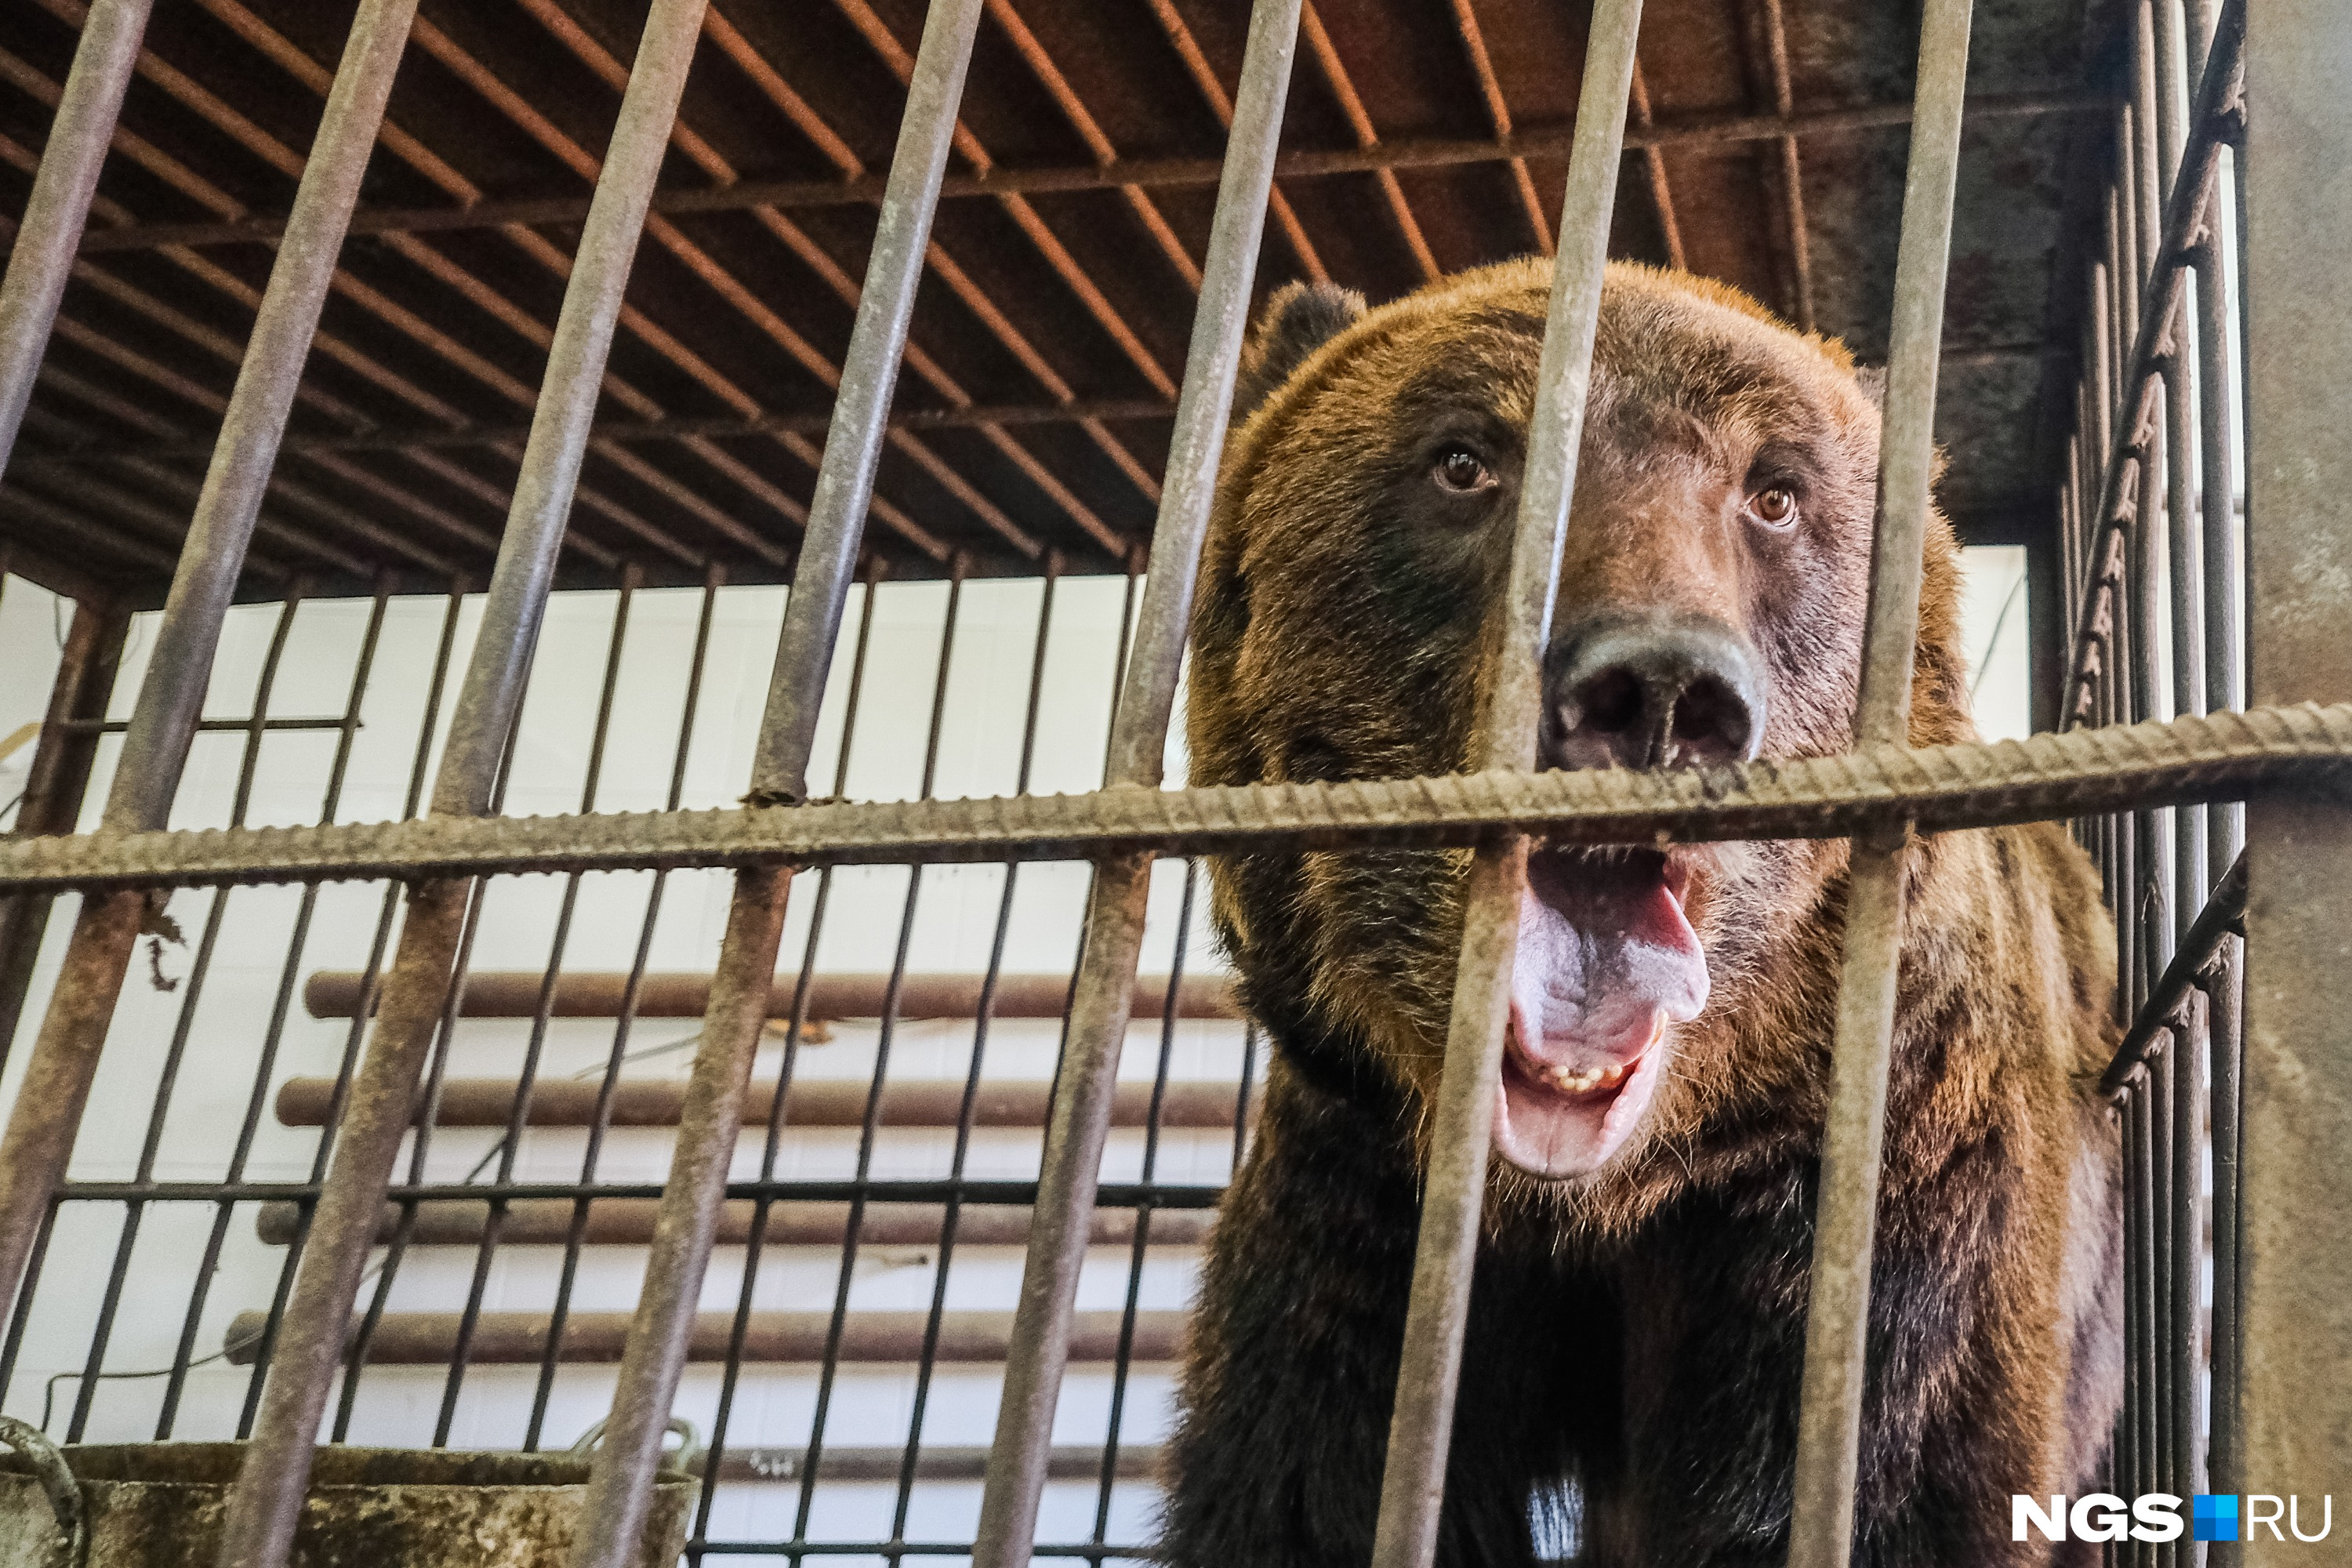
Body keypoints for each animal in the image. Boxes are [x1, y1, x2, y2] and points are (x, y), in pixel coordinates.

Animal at [1167, 257, 2126, 1568]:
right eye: (1465, 461)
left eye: (1773, 493)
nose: (1660, 691)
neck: (1594, 1202)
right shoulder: (1366, 1205)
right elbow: (1309, 1493)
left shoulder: (1875, 1213)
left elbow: (1876, 1486)